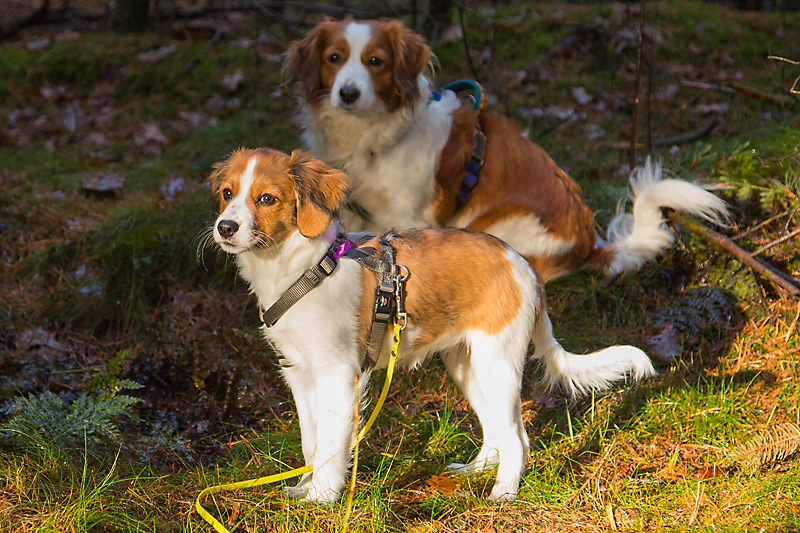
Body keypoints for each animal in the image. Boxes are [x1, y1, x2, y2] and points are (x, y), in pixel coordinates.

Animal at [211, 147, 656, 502]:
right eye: (227, 194)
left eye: (267, 198)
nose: (225, 228)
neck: (303, 269)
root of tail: (524, 265)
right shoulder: (299, 374)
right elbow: (310, 443)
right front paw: (304, 489)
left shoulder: (338, 375)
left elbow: (331, 447)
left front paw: (320, 499)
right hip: (466, 365)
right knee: (497, 430)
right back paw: (478, 470)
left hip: (497, 363)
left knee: (518, 438)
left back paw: (503, 494)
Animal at [284, 18, 728, 280]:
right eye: (334, 58)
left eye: (375, 61)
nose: (348, 93)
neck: (370, 135)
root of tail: (591, 243)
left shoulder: (409, 215)